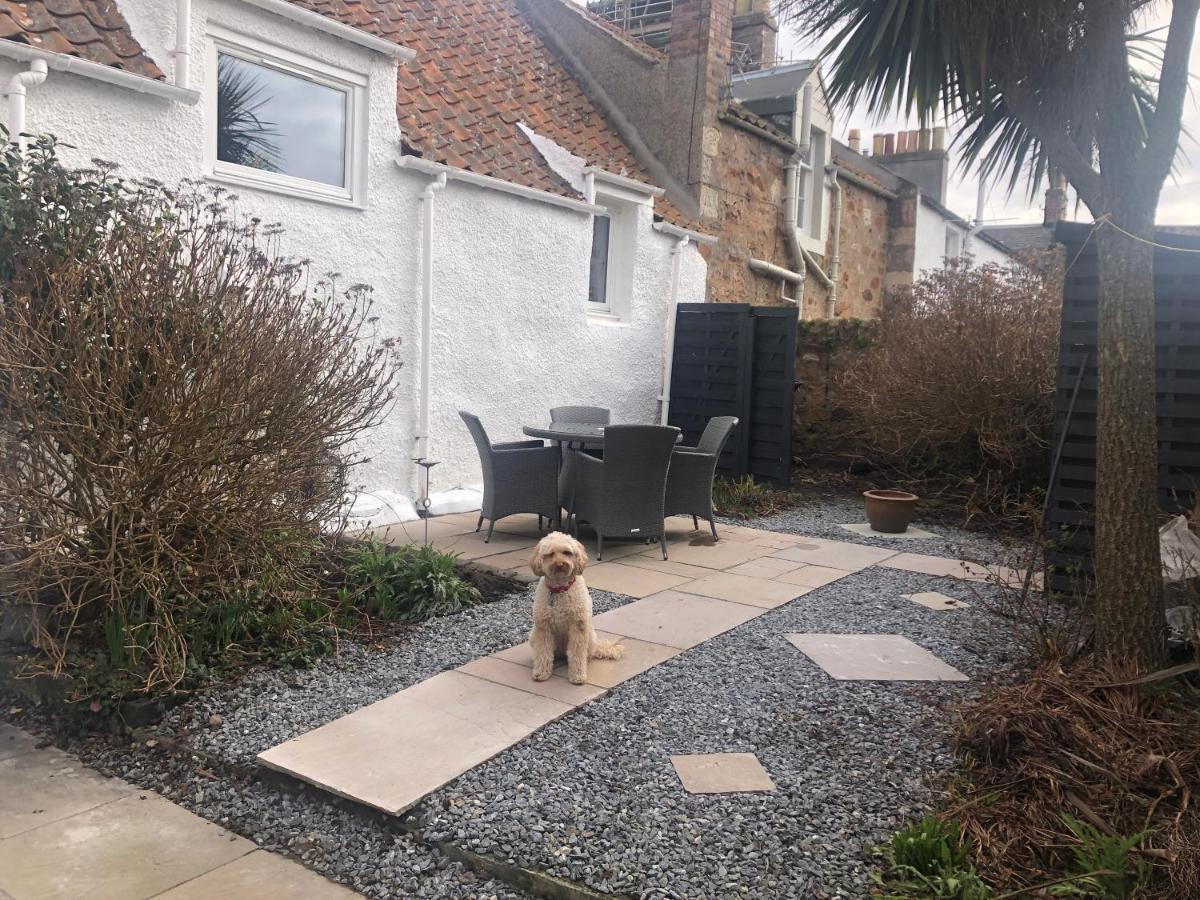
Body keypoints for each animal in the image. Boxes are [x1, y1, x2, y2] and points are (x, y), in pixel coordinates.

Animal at [532, 535, 628, 681]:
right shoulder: (543, 627)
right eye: (550, 554)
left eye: (567, 552)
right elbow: (543, 651)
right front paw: (541, 672)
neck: (560, 589)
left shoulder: (578, 626)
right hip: (533, 635)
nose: (560, 565)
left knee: (584, 654)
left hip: (589, 636)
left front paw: (578, 676)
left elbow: (577, 654)